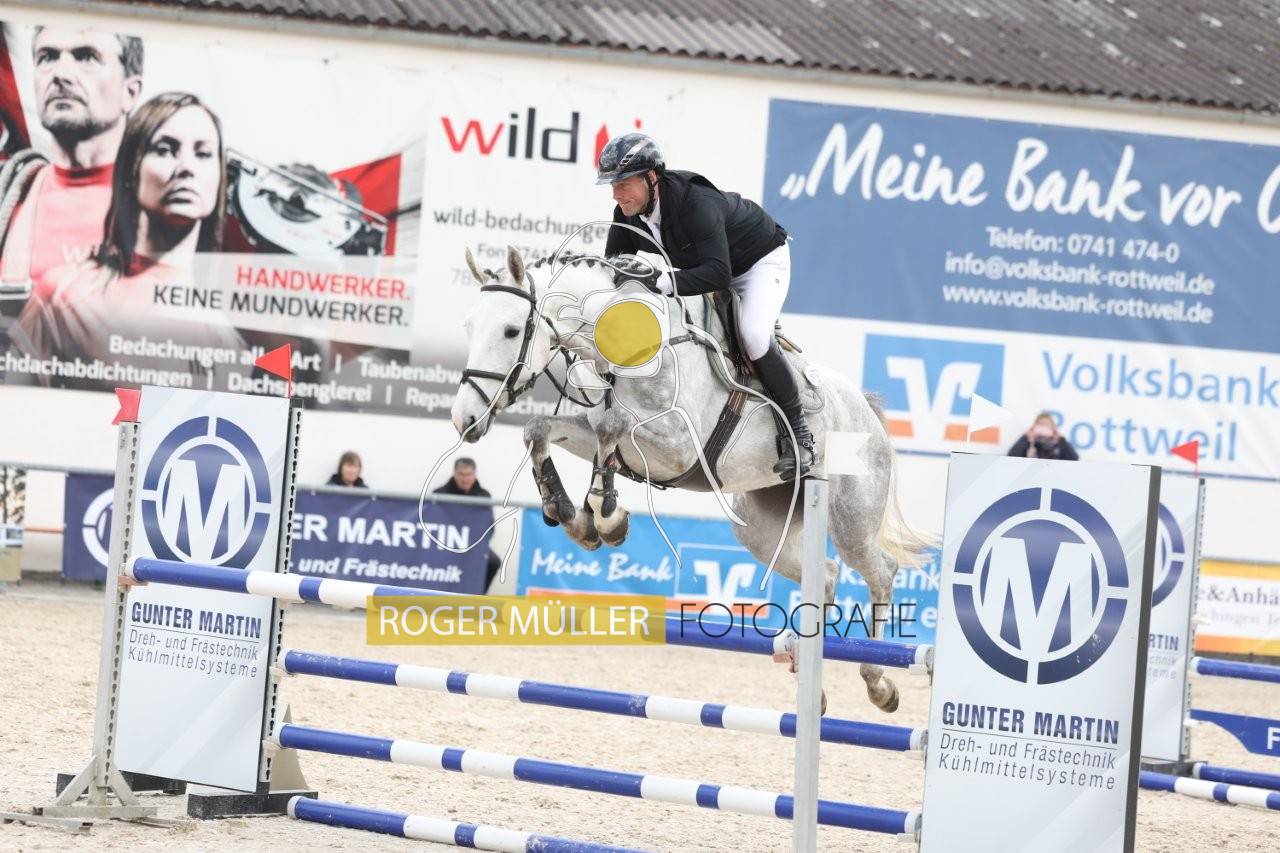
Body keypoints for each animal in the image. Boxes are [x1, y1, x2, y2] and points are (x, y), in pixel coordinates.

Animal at [450, 246, 931, 713]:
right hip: (762, 530)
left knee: (880, 571)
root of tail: (866, 408)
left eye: (511, 330)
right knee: (827, 574)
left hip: (850, 519)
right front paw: (573, 516)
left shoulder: (677, 445)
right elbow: (542, 429)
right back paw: (807, 678)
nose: (465, 419)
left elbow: (611, 423)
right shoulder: (608, 438)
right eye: (469, 326)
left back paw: (878, 682)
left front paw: (606, 517)